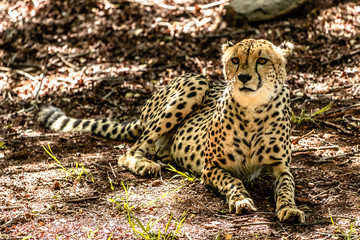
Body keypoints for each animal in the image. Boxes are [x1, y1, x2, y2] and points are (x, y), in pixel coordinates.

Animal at [38, 38, 304, 222]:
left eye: (262, 60)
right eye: (235, 60)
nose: (244, 77)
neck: (252, 109)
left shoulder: (281, 168)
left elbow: (287, 187)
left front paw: (290, 209)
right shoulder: (211, 167)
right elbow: (233, 181)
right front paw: (241, 200)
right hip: (195, 84)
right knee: (129, 152)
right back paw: (145, 165)